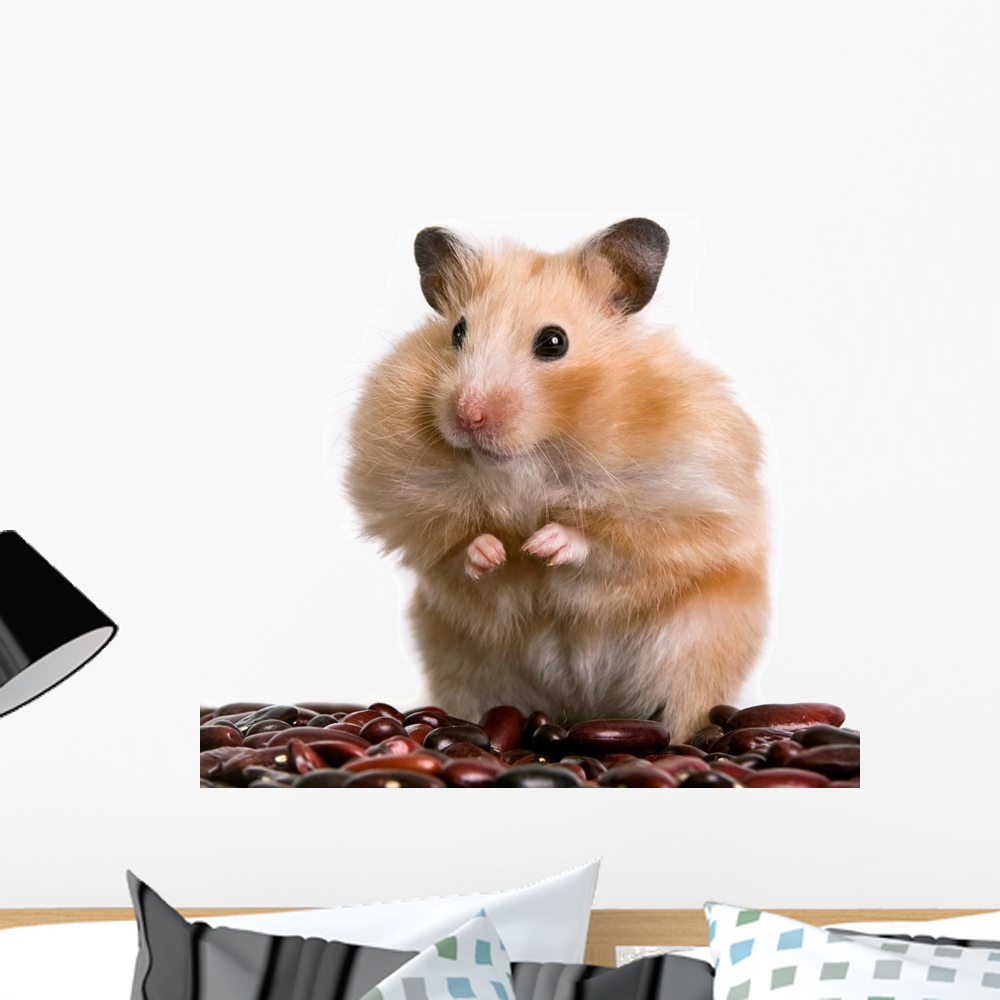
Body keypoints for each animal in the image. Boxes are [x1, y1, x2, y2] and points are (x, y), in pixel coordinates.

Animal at [346, 218, 770, 742]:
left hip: (696, 649)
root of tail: (582, 710)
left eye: (554, 342)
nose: (467, 415)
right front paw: (495, 553)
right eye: (458, 332)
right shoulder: (402, 504)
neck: (527, 458)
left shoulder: (683, 502)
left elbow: (613, 545)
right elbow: (455, 546)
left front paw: (542, 545)